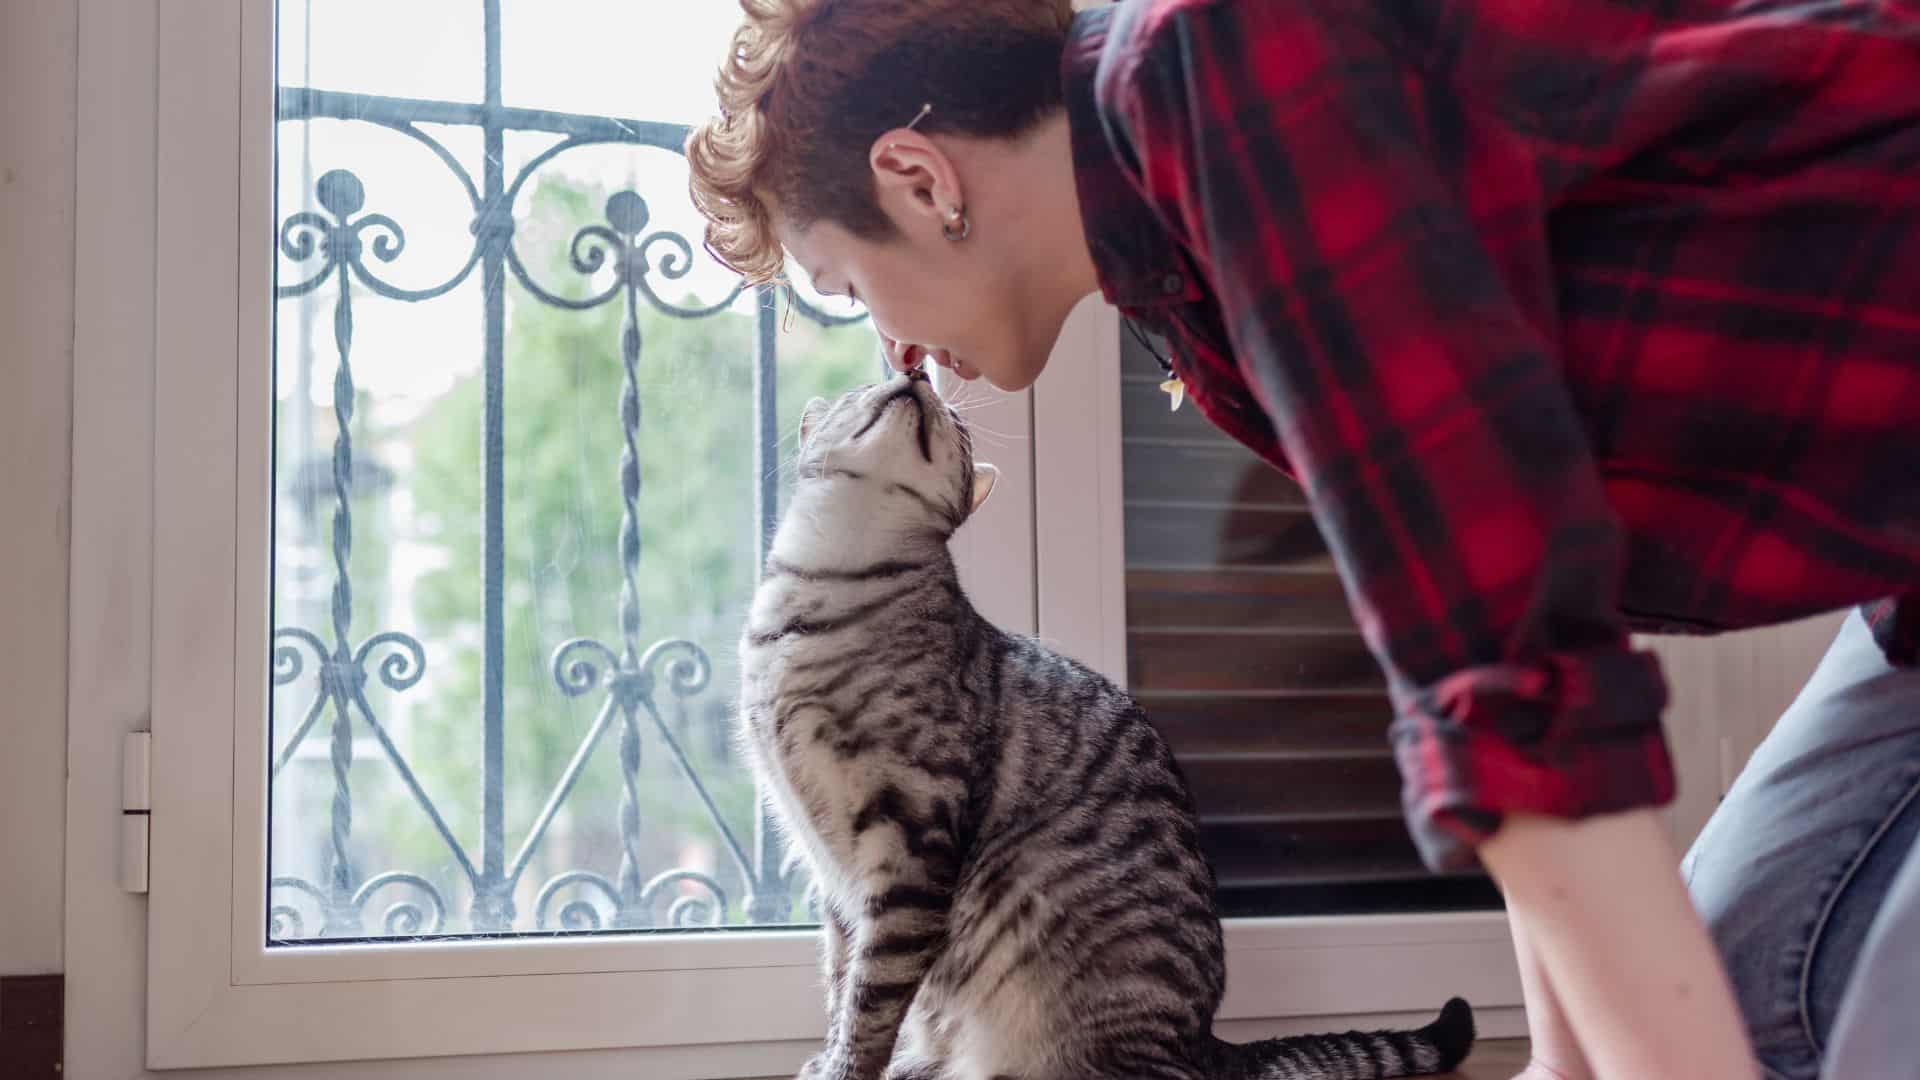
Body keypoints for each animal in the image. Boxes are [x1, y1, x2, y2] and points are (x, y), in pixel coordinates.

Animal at [741, 367, 1474, 1076]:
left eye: (956, 424)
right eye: (870, 384)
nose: (915, 369)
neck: (821, 589)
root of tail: (1207, 1042)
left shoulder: (912, 839)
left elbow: (872, 996)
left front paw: (847, 1067)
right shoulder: (831, 868)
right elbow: (841, 980)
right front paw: (828, 1055)